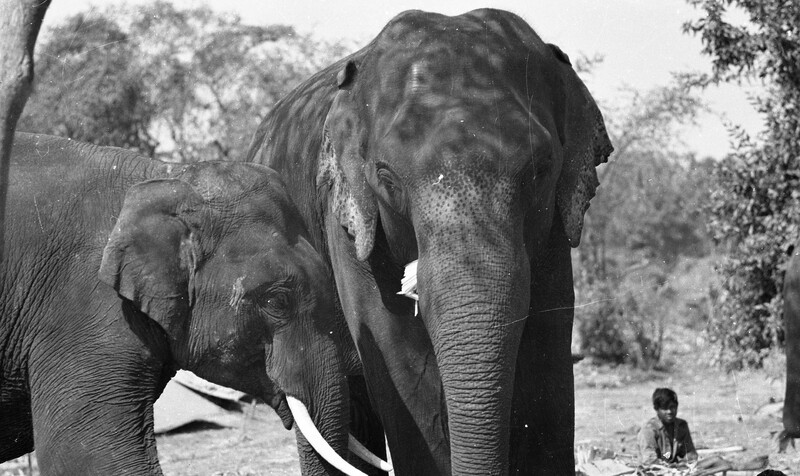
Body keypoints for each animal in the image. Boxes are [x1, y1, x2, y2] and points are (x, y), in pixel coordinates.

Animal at [245, 8, 612, 475]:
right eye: (386, 177)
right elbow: (401, 358)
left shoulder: (554, 229)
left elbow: (546, 347)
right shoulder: (347, 216)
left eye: (542, 170)